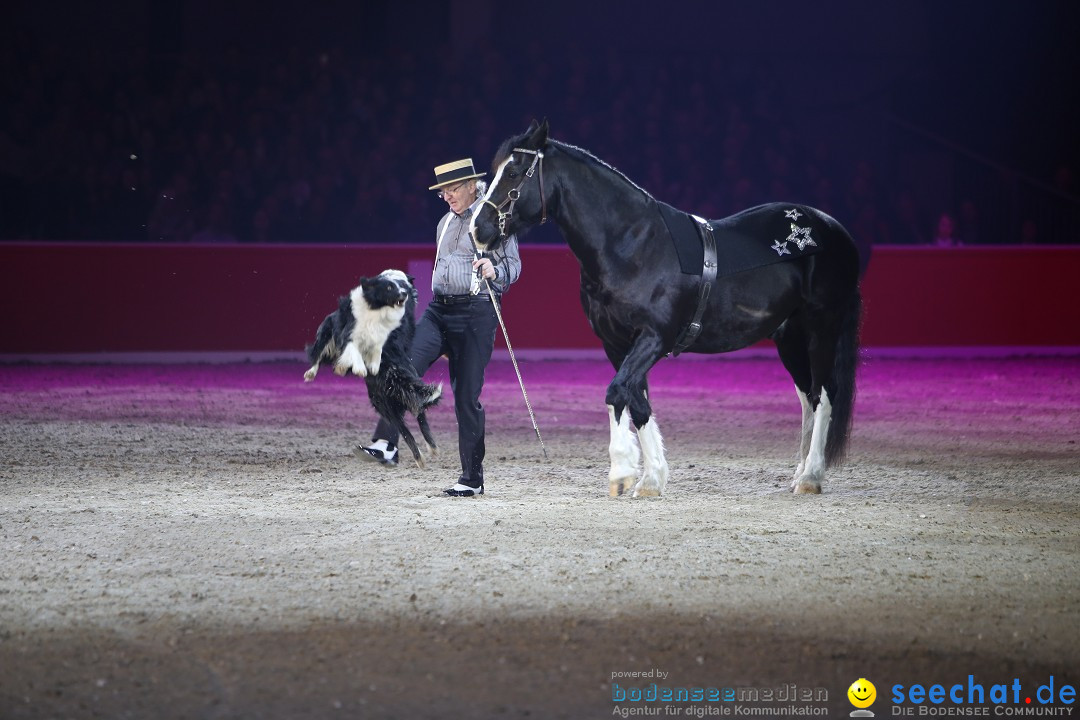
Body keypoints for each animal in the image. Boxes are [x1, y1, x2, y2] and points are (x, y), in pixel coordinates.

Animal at [470, 120, 859, 498]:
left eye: (514, 172)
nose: (478, 229)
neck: (633, 245)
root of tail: (831, 227)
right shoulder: (617, 344)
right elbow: (637, 401)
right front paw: (651, 480)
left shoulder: (654, 338)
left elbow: (616, 393)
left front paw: (622, 473)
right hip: (789, 337)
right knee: (808, 396)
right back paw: (799, 473)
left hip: (821, 329)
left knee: (825, 393)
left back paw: (811, 477)